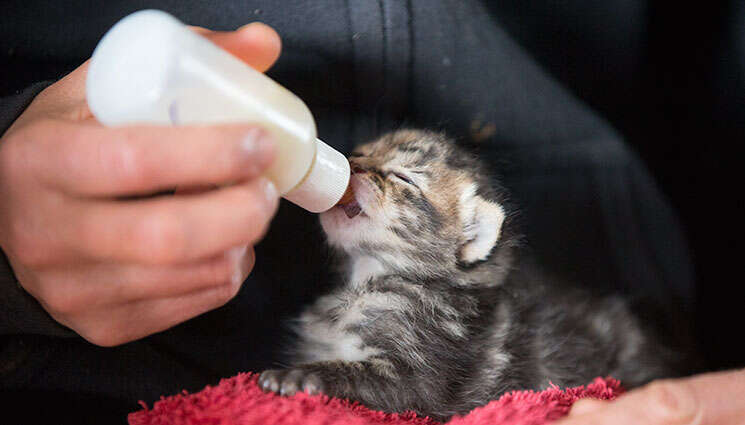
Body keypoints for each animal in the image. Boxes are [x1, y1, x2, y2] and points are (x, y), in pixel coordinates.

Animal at [260, 129, 680, 420]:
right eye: (363, 152)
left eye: (403, 178)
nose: (354, 164)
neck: (366, 281)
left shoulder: (417, 381)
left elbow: (352, 376)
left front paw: (294, 378)